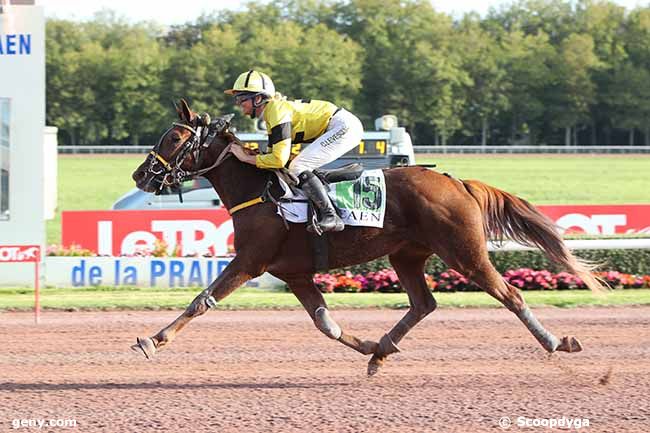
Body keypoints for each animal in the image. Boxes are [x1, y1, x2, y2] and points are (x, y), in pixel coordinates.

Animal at [132, 100, 604, 374]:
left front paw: (153, 340)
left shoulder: (251, 261)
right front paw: (369, 346)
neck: (259, 192)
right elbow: (326, 323)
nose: (140, 175)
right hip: (407, 255)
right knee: (424, 303)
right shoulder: (295, 274)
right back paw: (382, 351)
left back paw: (556, 342)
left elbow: (201, 300)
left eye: (174, 137)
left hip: (465, 253)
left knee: (511, 295)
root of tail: (458, 182)